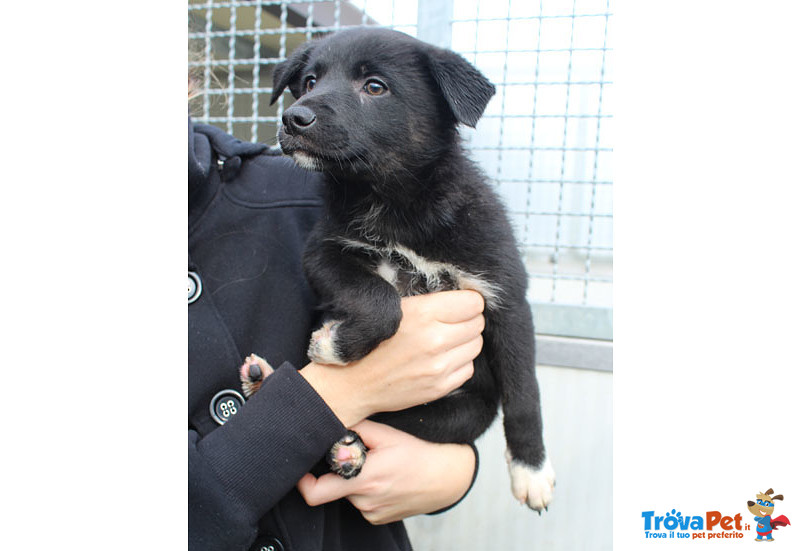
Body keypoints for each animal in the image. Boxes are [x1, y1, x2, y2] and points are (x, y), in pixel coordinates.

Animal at [244, 24, 556, 508]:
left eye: (375, 87)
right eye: (310, 81)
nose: (293, 118)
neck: (394, 203)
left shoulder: (505, 295)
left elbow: (525, 393)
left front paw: (532, 470)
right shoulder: (325, 251)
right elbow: (381, 301)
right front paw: (335, 346)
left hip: (461, 412)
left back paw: (343, 447)